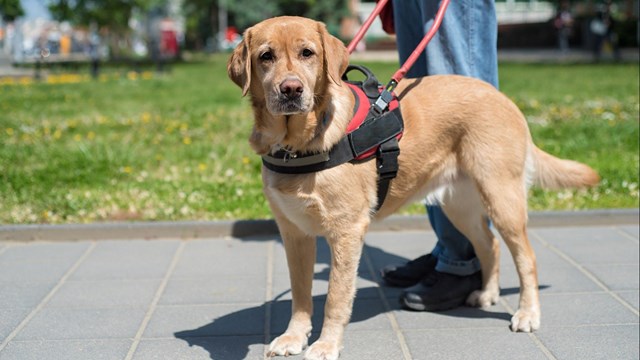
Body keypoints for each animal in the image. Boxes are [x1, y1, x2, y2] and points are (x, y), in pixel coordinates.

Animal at [228, 15, 596, 358]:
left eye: (307, 53)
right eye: (266, 56)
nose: (291, 89)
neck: (295, 145)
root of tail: (502, 97)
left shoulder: (346, 231)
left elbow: (335, 297)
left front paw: (326, 345)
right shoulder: (294, 233)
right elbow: (300, 294)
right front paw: (294, 337)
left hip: (502, 198)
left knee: (526, 257)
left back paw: (527, 313)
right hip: (459, 205)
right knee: (488, 244)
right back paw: (488, 293)